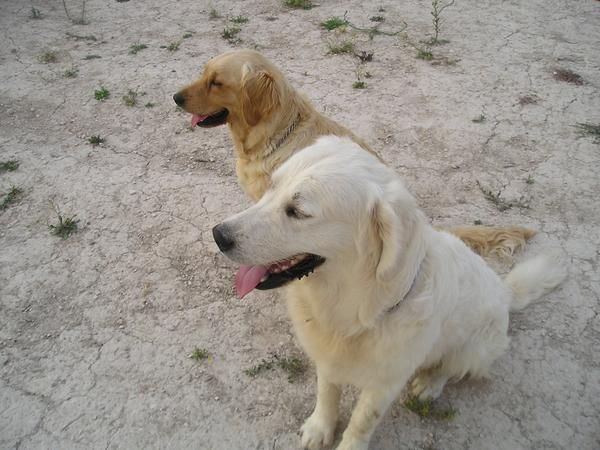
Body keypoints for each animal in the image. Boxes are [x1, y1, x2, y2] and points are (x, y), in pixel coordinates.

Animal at [212, 135, 568, 448]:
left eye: (297, 212)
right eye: (271, 187)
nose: (218, 235)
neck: (355, 307)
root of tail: (506, 292)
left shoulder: (385, 383)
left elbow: (361, 422)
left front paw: (348, 444)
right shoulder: (328, 358)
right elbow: (327, 394)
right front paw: (319, 428)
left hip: (476, 348)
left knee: (452, 368)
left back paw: (429, 384)